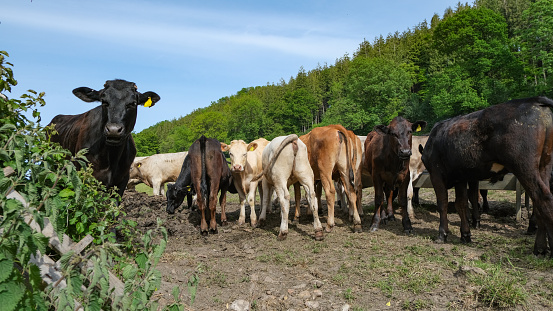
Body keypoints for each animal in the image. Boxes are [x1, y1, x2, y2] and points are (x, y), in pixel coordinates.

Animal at [418, 96, 552, 258]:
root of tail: (535, 100)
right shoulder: (460, 176)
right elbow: (461, 204)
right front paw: (465, 234)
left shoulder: (436, 173)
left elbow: (442, 203)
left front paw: (442, 234)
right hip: (544, 165)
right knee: (539, 204)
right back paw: (540, 248)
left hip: (524, 165)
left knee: (543, 198)